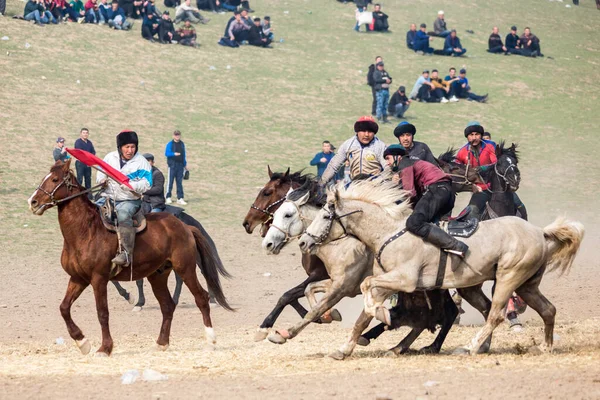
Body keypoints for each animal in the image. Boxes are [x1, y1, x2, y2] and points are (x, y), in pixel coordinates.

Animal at [27, 159, 232, 356]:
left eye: (55, 179)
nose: (33, 202)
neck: (86, 231)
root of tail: (185, 227)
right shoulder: (78, 279)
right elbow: (64, 308)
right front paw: (82, 343)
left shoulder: (98, 279)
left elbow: (102, 313)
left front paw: (105, 348)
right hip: (157, 276)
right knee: (167, 306)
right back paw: (161, 343)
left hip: (186, 268)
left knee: (201, 298)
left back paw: (210, 341)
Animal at [241, 166, 336, 340]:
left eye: (267, 192)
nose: (246, 223)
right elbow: (292, 295)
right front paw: (320, 317)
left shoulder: (321, 274)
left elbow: (287, 295)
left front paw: (264, 326)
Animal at [302, 178, 584, 356]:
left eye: (326, 215)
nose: (304, 241)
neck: (389, 234)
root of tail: (539, 232)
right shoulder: (387, 283)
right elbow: (363, 315)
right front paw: (344, 349)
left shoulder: (404, 280)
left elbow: (366, 288)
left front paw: (380, 314)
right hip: (522, 285)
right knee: (546, 310)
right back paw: (542, 347)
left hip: (509, 278)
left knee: (495, 315)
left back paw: (471, 347)